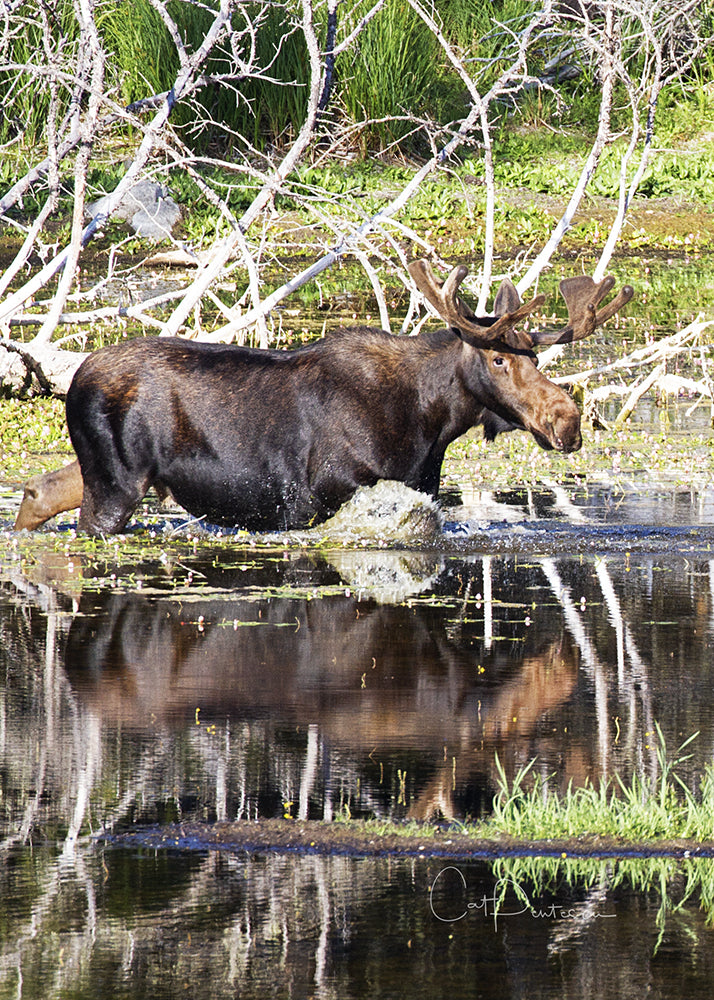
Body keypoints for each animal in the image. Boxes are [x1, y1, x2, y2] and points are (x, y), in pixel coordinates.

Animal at [13, 262, 632, 536]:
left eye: (538, 359)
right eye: (499, 360)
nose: (567, 421)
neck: (431, 424)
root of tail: (76, 378)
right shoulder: (318, 496)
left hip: (104, 472)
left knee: (40, 489)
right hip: (117, 484)